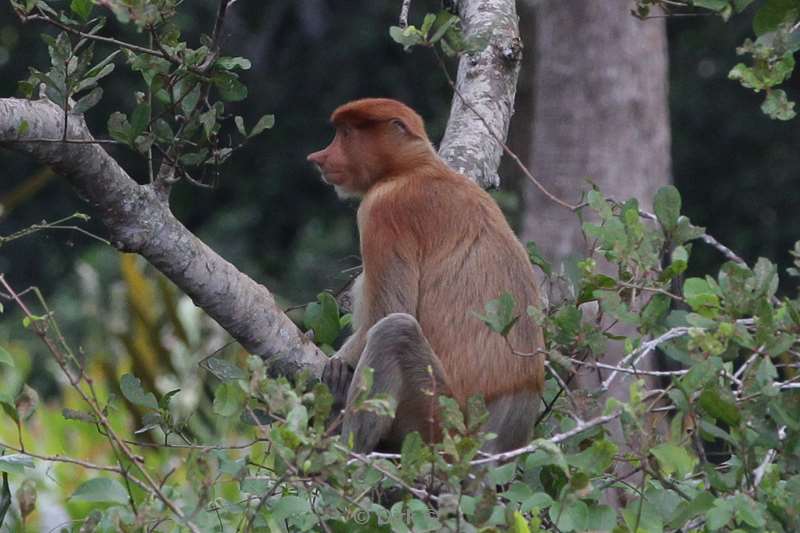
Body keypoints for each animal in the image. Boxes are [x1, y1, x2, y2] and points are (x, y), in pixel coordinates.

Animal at [306, 97, 544, 450]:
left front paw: (338, 372)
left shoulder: (382, 211)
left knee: (395, 331)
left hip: (437, 417)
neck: (415, 168)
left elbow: (386, 312)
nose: (318, 158)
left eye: (346, 133)